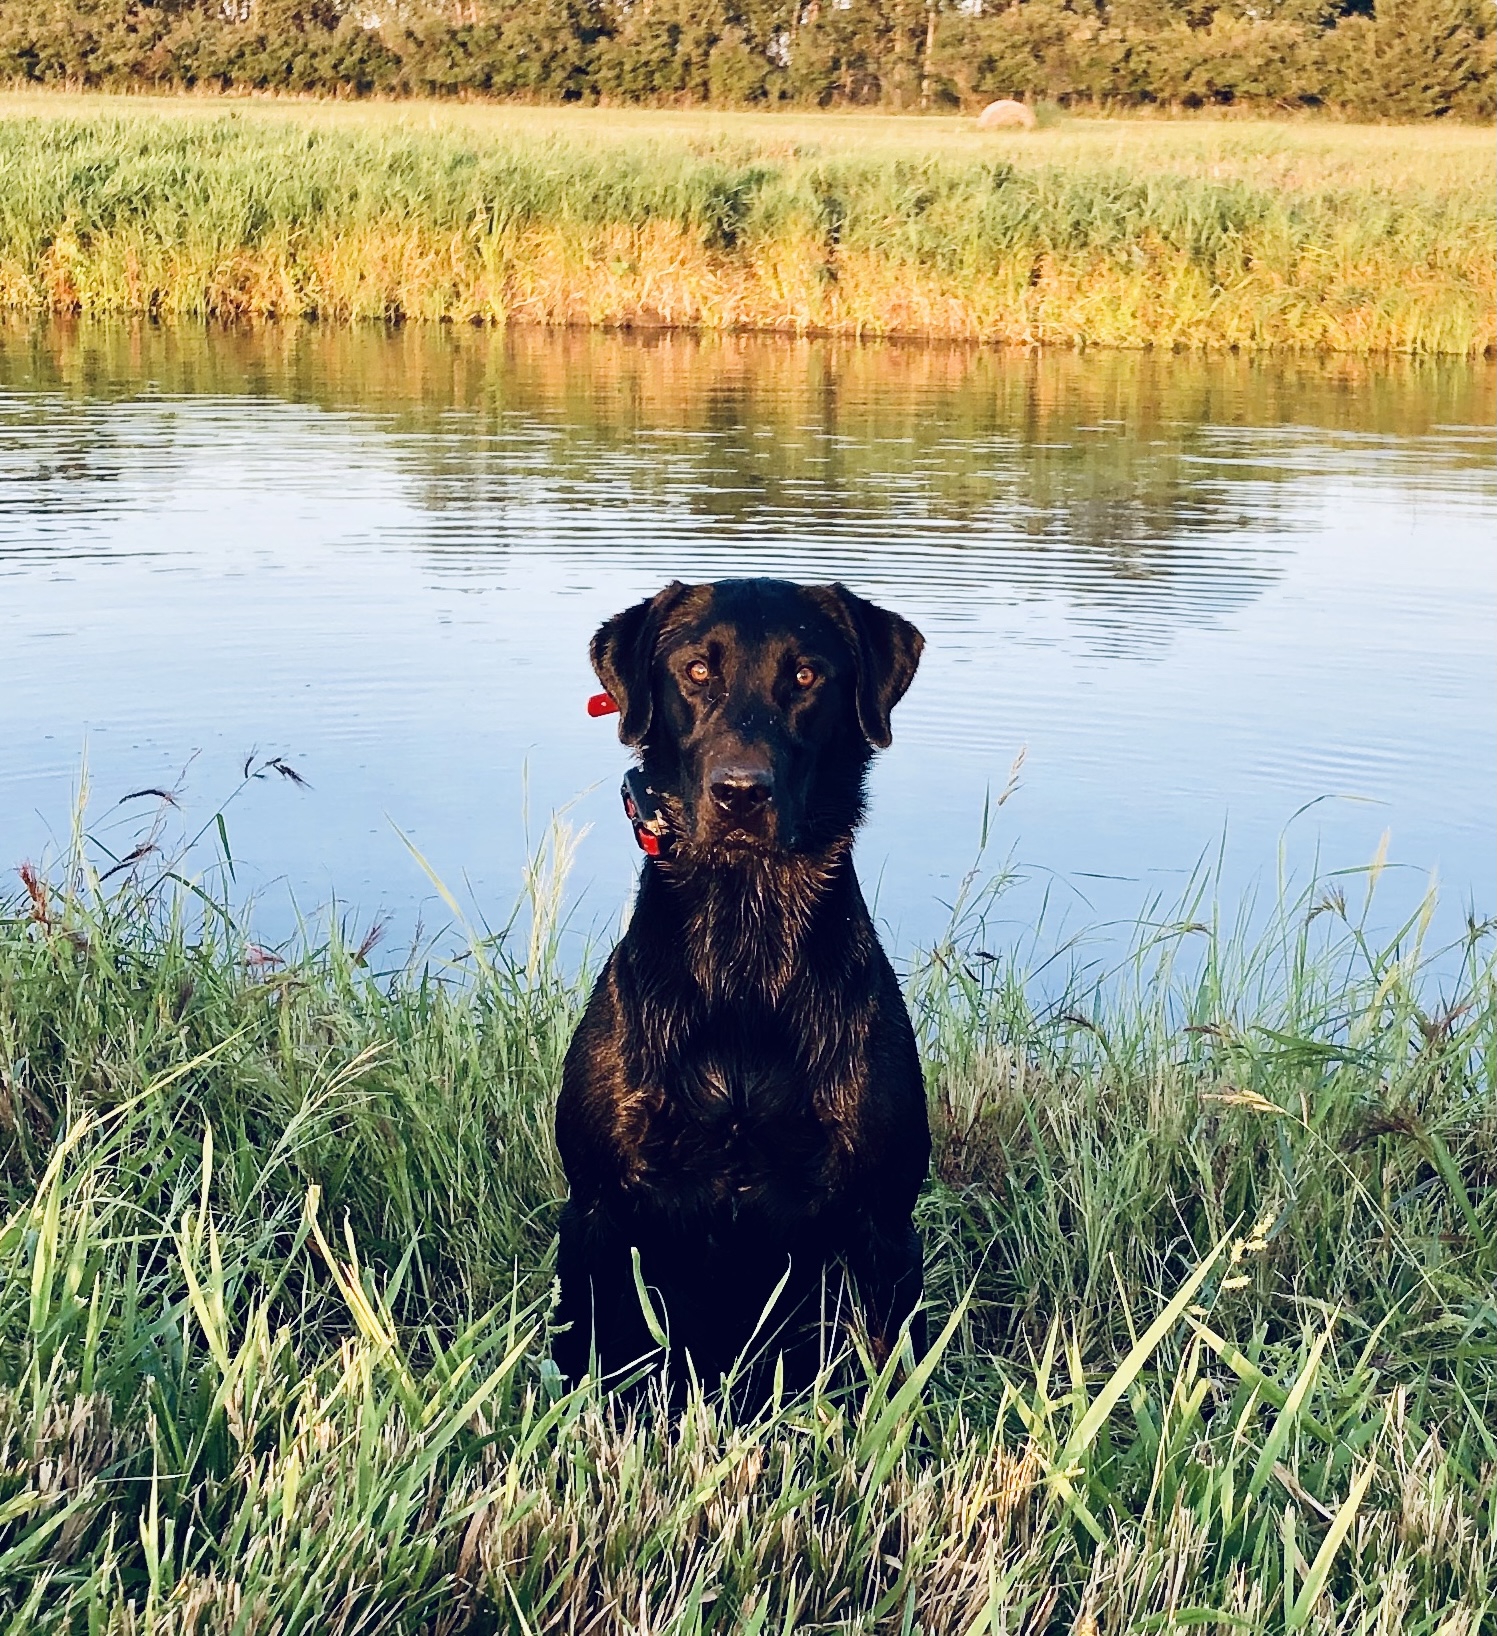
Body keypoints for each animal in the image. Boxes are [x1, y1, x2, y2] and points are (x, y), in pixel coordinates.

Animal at [549, 579, 922, 1406]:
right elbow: (593, 1361)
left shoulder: (882, 1223)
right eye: (695, 670)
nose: (740, 793)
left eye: (806, 675)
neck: (743, 948)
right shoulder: (596, 1209)